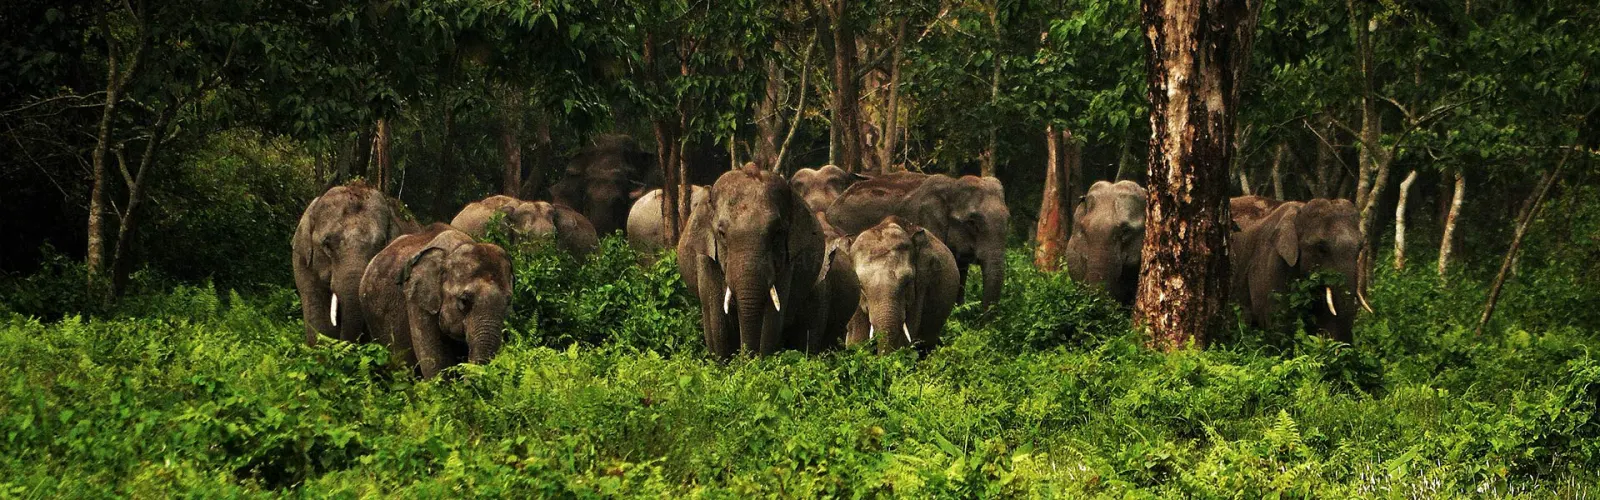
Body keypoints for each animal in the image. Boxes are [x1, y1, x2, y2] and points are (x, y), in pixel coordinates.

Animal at [678, 163, 833, 358]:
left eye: (777, 233)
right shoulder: (706, 258)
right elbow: (716, 321)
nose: (746, 357)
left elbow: (772, 318)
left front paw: (760, 361)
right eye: (721, 233)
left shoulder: (786, 262)